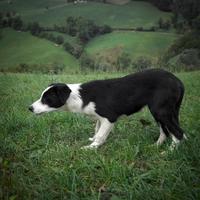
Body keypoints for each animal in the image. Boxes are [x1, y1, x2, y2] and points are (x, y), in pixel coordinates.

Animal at [29, 69, 186, 149]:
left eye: (46, 99)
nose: (29, 108)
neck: (79, 97)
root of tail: (177, 80)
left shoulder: (109, 118)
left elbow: (100, 134)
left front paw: (91, 147)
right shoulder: (100, 118)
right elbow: (97, 130)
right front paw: (93, 141)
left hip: (160, 110)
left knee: (177, 132)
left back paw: (169, 152)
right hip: (161, 111)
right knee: (166, 131)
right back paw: (156, 146)